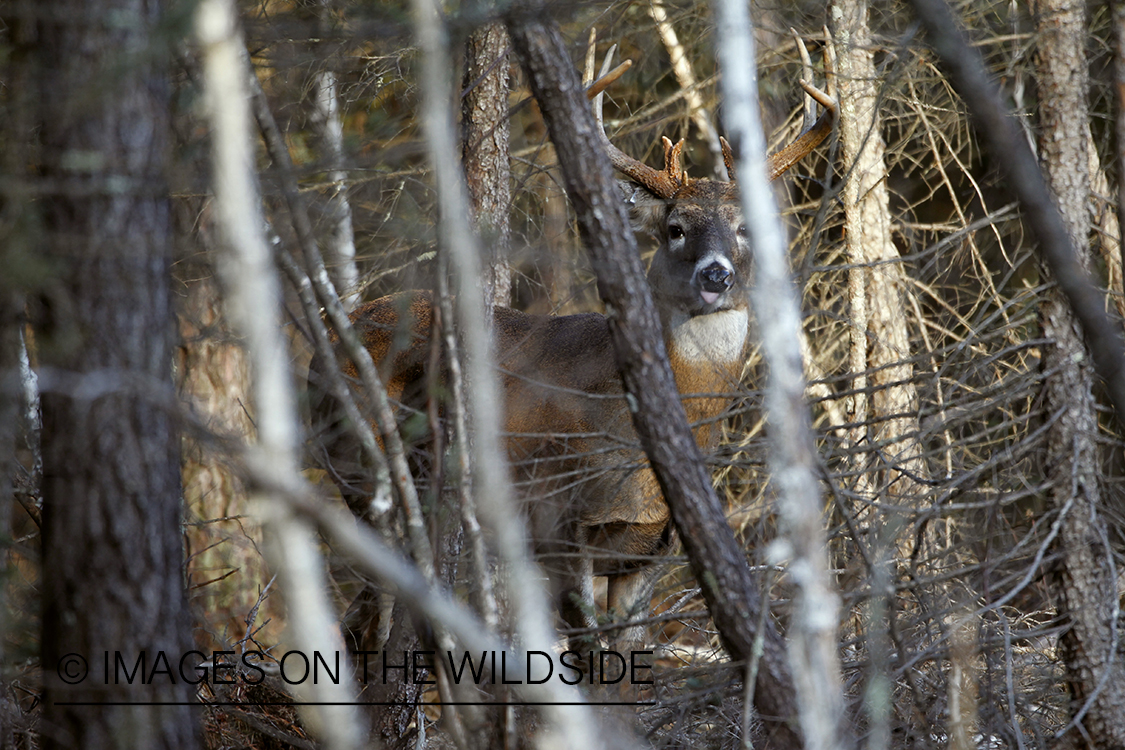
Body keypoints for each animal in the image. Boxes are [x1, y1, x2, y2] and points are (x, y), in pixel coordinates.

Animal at [310, 38, 837, 652]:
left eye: (744, 228)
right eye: (675, 228)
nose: (716, 275)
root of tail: (330, 331)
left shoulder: (653, 546)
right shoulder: (564, 521)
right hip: (365, 468)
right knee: (371, 615)